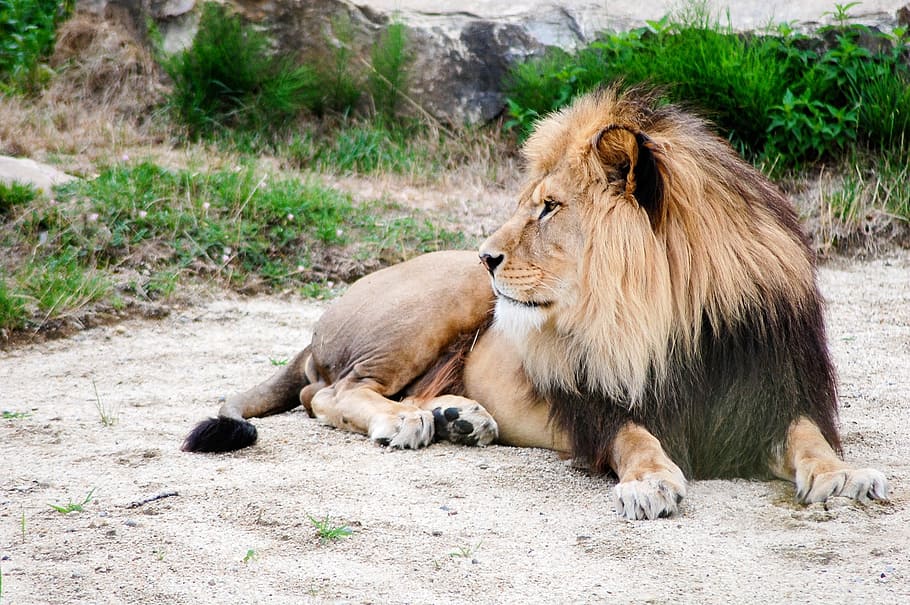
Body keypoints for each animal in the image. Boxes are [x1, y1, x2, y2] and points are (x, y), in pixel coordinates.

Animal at [183, 86, 888, 520]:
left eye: (548, 207)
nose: (486, 255)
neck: (671, 318)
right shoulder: (597, 407)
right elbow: (635, 436)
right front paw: (650, 482)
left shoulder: (765, 394)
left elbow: (808, 435)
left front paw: (844, 476)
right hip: (440, 302)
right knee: (326, 393)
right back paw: (405, 422)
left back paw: (458, 418)